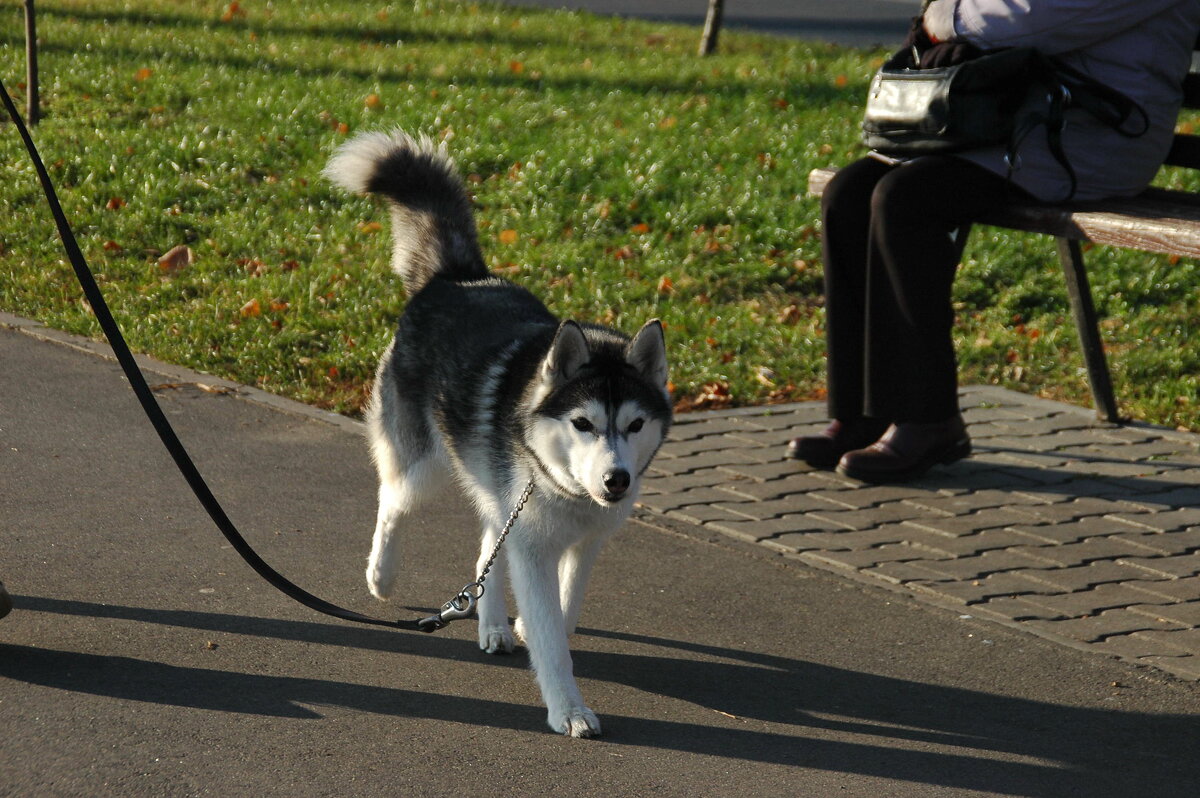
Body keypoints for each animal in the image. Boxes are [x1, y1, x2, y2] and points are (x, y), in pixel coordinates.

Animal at [324, 129, 672, 734]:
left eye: (634, 424)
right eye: (582, 423)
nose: (616, 482)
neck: (567, 490)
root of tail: (459, 277)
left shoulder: (584, 541)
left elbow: (563, 607)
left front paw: (529, 626)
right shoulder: (533, 546)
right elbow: (552, 639)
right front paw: (569, 708)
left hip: (492, 480)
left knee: (489, 538)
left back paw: (490, 623)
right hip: (426, 468)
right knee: (392, 501)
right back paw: (381, 575)